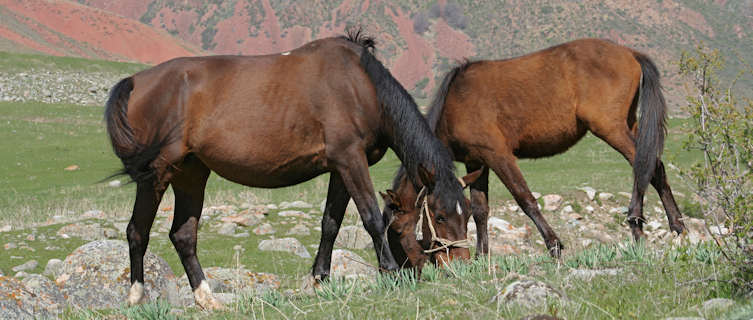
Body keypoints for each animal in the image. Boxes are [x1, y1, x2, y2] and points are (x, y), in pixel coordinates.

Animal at [104, 30, 470, 310]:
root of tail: (135, 81)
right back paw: (136, 296)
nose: (464, 265)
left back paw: (208, 300)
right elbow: (370, 219)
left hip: (191, 174)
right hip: (157, 175)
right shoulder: (350, 160)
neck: (360, 85)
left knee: (183, 236)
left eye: (466, 214)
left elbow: (330, 224)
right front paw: (392, 273)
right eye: (439, 216)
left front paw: (319, 279)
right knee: (137, 231)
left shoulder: (340, 169)